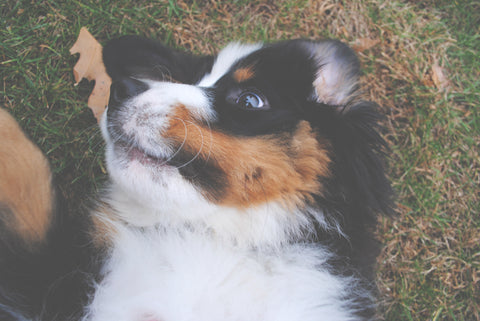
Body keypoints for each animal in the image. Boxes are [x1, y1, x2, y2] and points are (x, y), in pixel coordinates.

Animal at [0, 36, 394, 318]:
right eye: (177, 79)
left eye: (250, 100)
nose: (119, 89)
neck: (222, 240)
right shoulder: (61, 283)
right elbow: (32, 199)